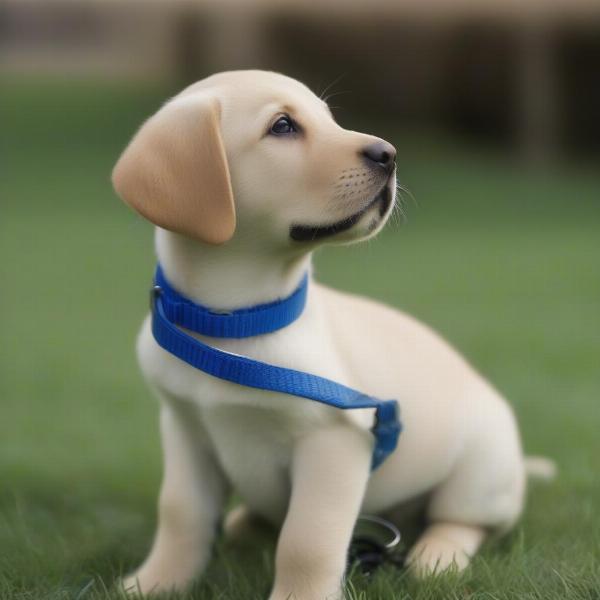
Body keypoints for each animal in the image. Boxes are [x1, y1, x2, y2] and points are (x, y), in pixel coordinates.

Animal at [111, 71, 524, 600]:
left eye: (331, 120)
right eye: (283, 126)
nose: (389, 153)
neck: (233, 324)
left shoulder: (335, 443)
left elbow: (306, 539)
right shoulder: (186, 430)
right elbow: (180, 513)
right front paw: (157, 581)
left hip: (480, 470)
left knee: (464, 522)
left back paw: (437, 556)